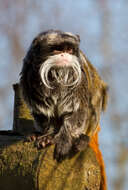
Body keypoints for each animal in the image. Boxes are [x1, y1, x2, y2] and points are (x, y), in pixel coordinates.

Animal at [20, 29, 108, 160]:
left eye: (69, 50)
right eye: (58, 50)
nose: (65, 55)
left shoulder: (79, 79)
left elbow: (77, 111)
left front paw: (64, 140)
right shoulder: (28, 75)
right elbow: (45, 112)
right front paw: (49, 135)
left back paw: (83, 139)